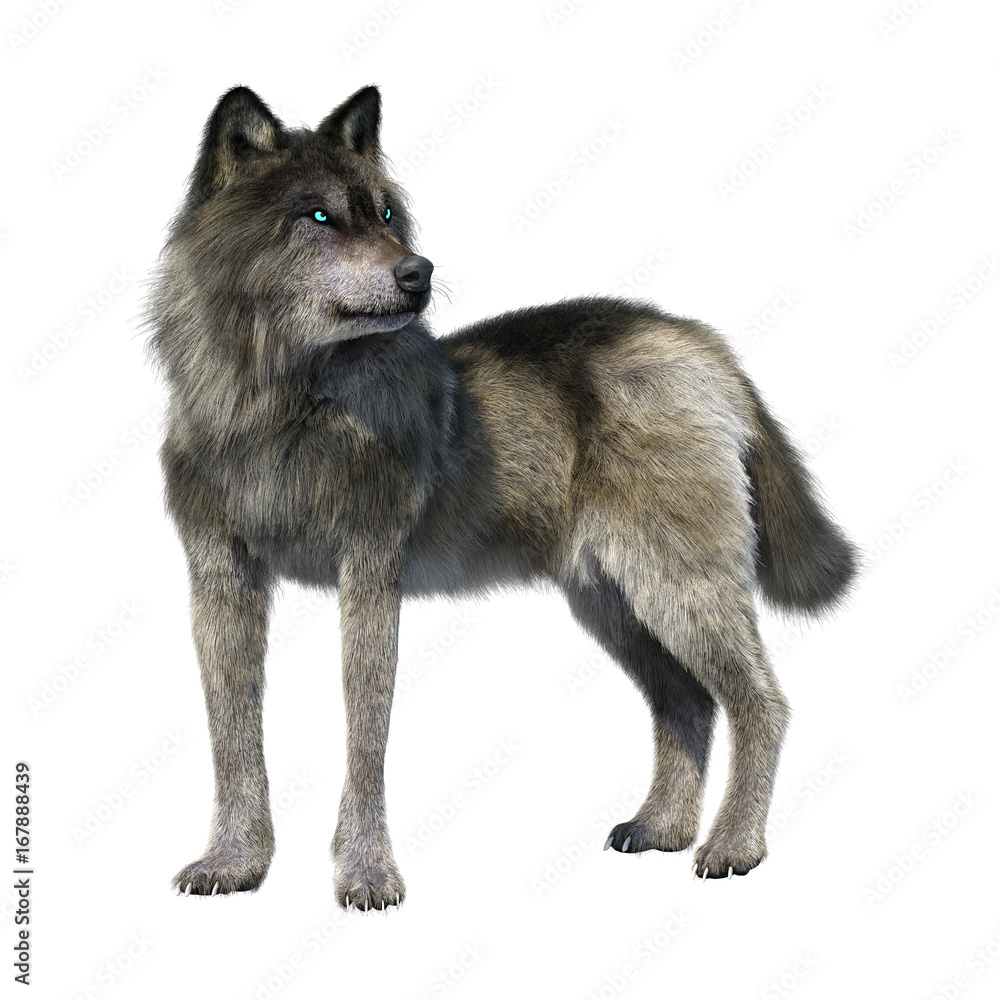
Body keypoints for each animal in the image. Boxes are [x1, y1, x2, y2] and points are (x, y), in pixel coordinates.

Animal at [147, 84, 856, 909]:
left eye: (384, 213)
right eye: (318, 216)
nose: (419, 272)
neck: (284, 407)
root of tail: (699, 342)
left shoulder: (370, 573)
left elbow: (364, 738)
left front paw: (367, 876)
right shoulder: (220, 580)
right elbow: (233, 739)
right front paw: (235, 864)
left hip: (675, 588)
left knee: (760, 703)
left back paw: (734, 846)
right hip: (614, 603)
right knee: (689, 703)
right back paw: (662, 829)